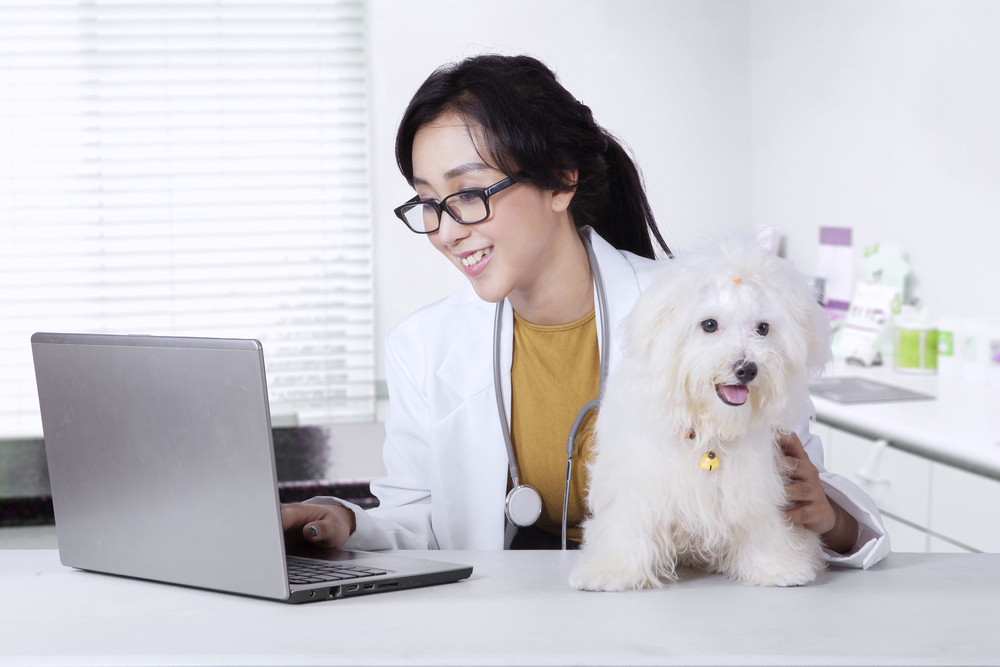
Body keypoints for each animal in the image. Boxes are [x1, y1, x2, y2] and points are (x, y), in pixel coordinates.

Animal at [568, 239, 832, 588]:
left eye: (763, 328)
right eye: (709, 325)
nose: (746, 369)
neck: (709, 429)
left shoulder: (757, 484)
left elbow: (762, 524)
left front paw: (777, 567)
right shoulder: (640, 478)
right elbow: (630, 523)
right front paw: (611, 571)